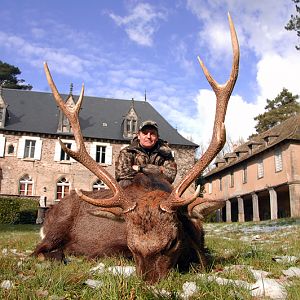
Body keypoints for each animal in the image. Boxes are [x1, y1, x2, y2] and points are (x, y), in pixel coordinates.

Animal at [32, 12, 239, 282]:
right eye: (131, 246)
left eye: (172, 242)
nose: (149, 283)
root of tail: (50, 215)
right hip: (58, 225)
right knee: (40, 251)